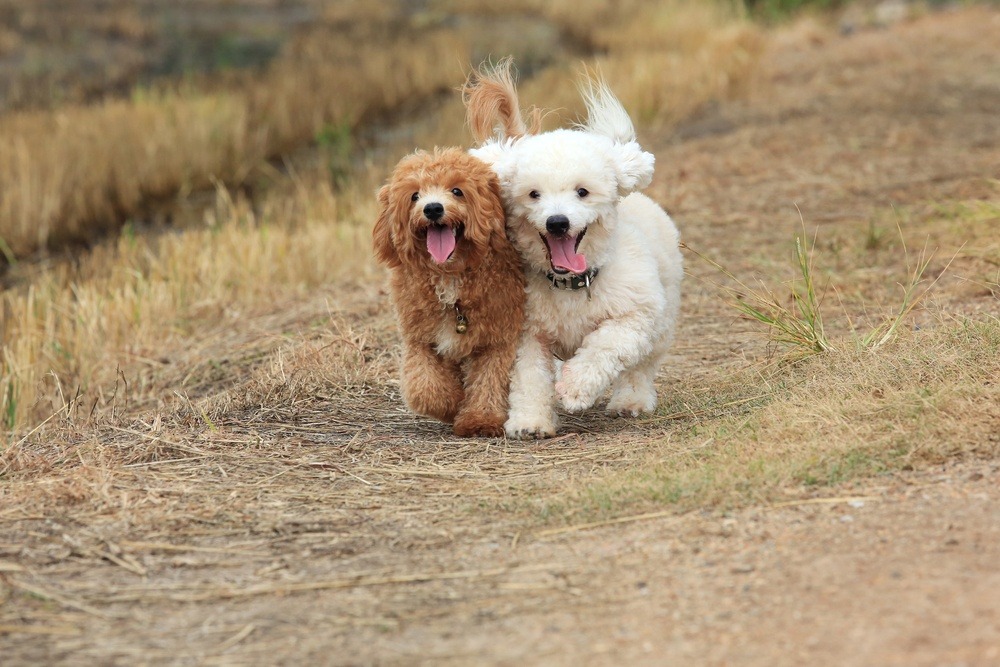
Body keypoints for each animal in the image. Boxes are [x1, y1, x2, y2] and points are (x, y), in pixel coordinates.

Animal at [464, 61, 684, 438]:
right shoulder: (526, 334)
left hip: (661, 321)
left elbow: (603, 348)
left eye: (582, 191)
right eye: (533, 194)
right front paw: (530, 421)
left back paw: (631, 401)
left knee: (640, 367)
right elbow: (530, 378)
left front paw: (575, 388)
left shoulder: (634, 317)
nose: (557, 222)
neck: (571, 283)